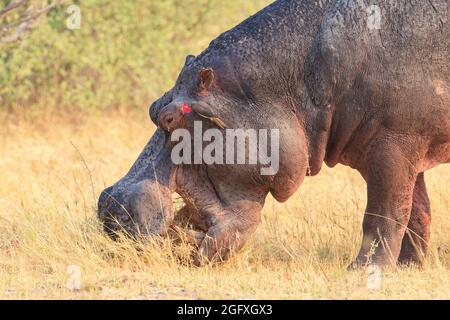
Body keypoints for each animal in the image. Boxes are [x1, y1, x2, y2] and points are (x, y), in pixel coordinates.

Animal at [99, 0, 450, 268]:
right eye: (153, 107)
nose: (110, 203)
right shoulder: (410, 153)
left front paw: (363, 271)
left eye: (171, 117)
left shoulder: (393, 148)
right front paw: (408, 267)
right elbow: (416, 212)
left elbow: (384, 214)